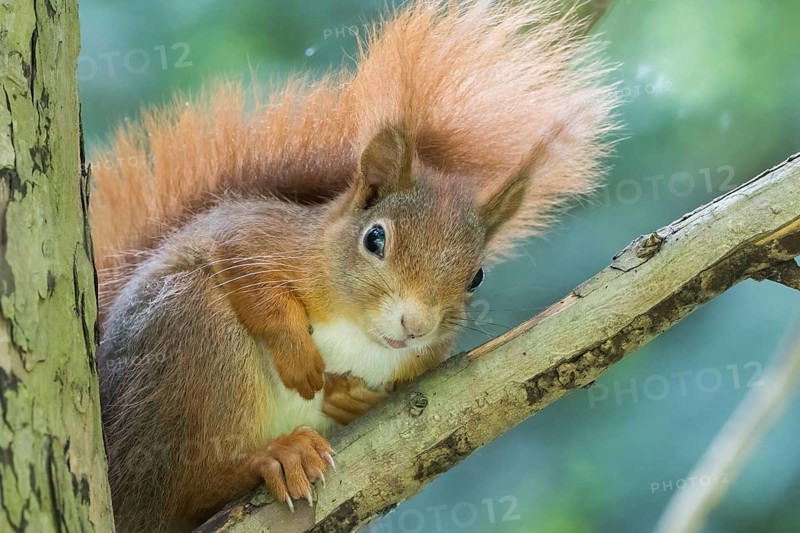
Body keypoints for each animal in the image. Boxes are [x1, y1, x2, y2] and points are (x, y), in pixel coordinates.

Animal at [91, 1, 618, 531]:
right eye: (375, 238)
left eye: (477, 276)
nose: (415, 325)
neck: (357, 330)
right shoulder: (252, 236)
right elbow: (247, 273)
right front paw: (298, 356)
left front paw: (355, 397)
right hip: (191, 336)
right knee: (185, 491)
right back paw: (274, 457)